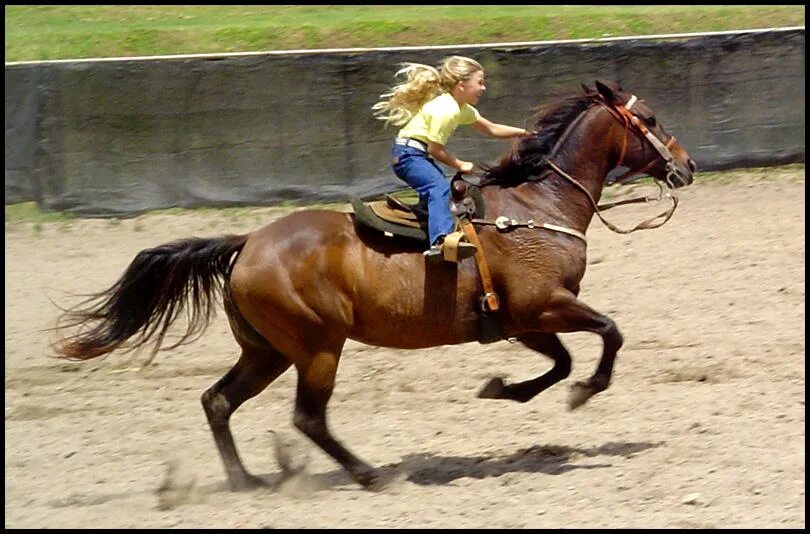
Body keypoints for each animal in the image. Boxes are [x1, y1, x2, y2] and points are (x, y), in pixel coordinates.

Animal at [52, 77, 696, 492]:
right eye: (651, 120)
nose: (686, 166)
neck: (538, 207)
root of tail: (247, 242)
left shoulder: (521, 319)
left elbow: (559, 363)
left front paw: (501, 390)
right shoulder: (546, 306)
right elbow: (608, 335)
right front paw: (585, 392)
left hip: (267, 351)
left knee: (218, 401)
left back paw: (246, 479)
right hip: (317, 348)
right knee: (307, 419)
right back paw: (367, 474)